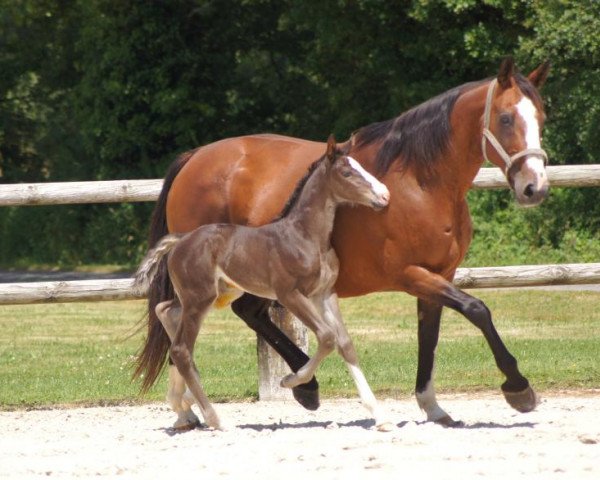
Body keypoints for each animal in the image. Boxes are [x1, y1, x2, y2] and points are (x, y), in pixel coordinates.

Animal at [134, 136, 392, 432]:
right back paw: (216, 419)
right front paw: (292, 381)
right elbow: (327, 337)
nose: (384, 195)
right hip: (201, 298)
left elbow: (344, 343)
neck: (304, 235)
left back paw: (186, 405)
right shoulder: (289, 294)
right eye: (347, 172)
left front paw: (380, 415)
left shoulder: (325, 294)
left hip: (206, 295)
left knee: (166, 311)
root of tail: (180, 240)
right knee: (181, 349)